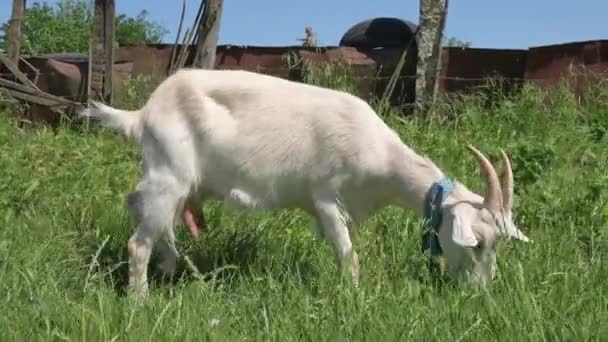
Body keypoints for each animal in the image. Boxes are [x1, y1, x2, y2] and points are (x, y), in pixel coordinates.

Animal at [79, 68, 528, 296]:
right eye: (479, 243)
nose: (480, 292)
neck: (381, 156)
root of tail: (142, 114)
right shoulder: (327, 198)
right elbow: (348, 254)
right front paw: (354, 298)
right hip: (169, 173)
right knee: (138, 241)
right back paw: (140, 301)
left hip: (175, 183)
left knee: (147, 212)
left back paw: (171, 269)